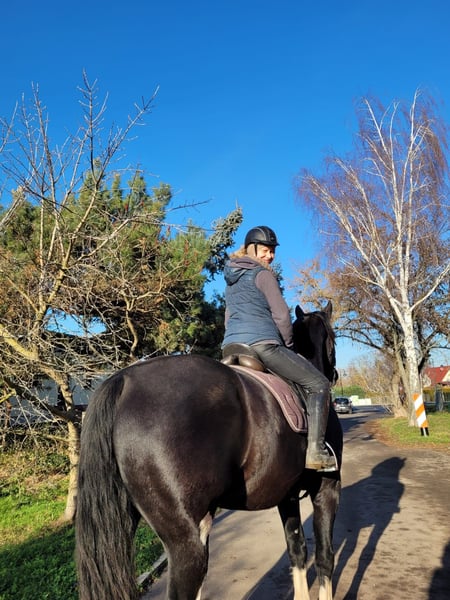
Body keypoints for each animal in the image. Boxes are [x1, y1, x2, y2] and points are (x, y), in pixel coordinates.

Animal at [75, 302, 343, 600]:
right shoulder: (327, 489)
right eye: (333, 338)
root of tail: (124, 380)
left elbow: (297, 552)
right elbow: (325, 557)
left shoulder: (287, 495)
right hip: (189, 539)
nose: (335, 375)